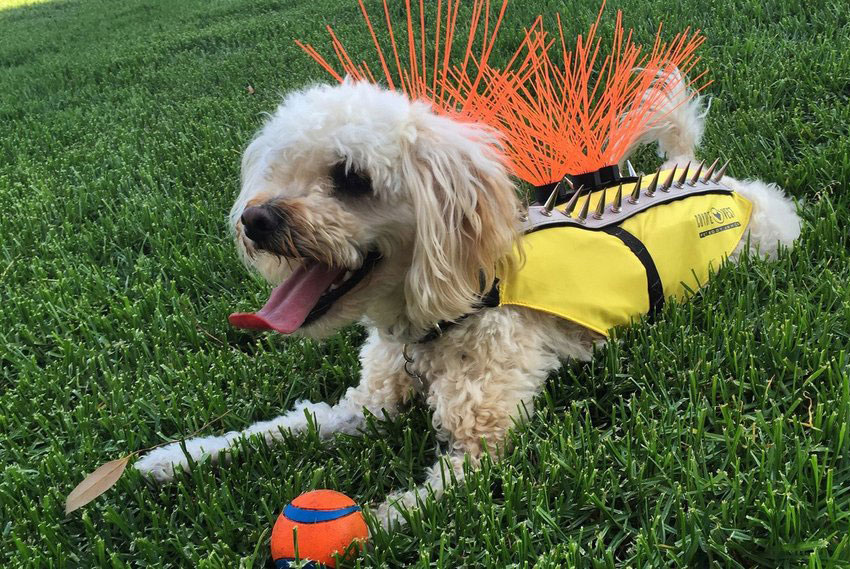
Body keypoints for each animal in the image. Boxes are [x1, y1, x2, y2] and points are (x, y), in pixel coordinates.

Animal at [136, 77, 800, 524]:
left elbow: (386, 516)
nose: (255, 221)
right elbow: (279, 427)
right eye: (280, 168)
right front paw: (175, 458)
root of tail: (700, 170)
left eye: (351, 178)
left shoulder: (481, 446)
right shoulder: (365, 407)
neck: (437, 318)